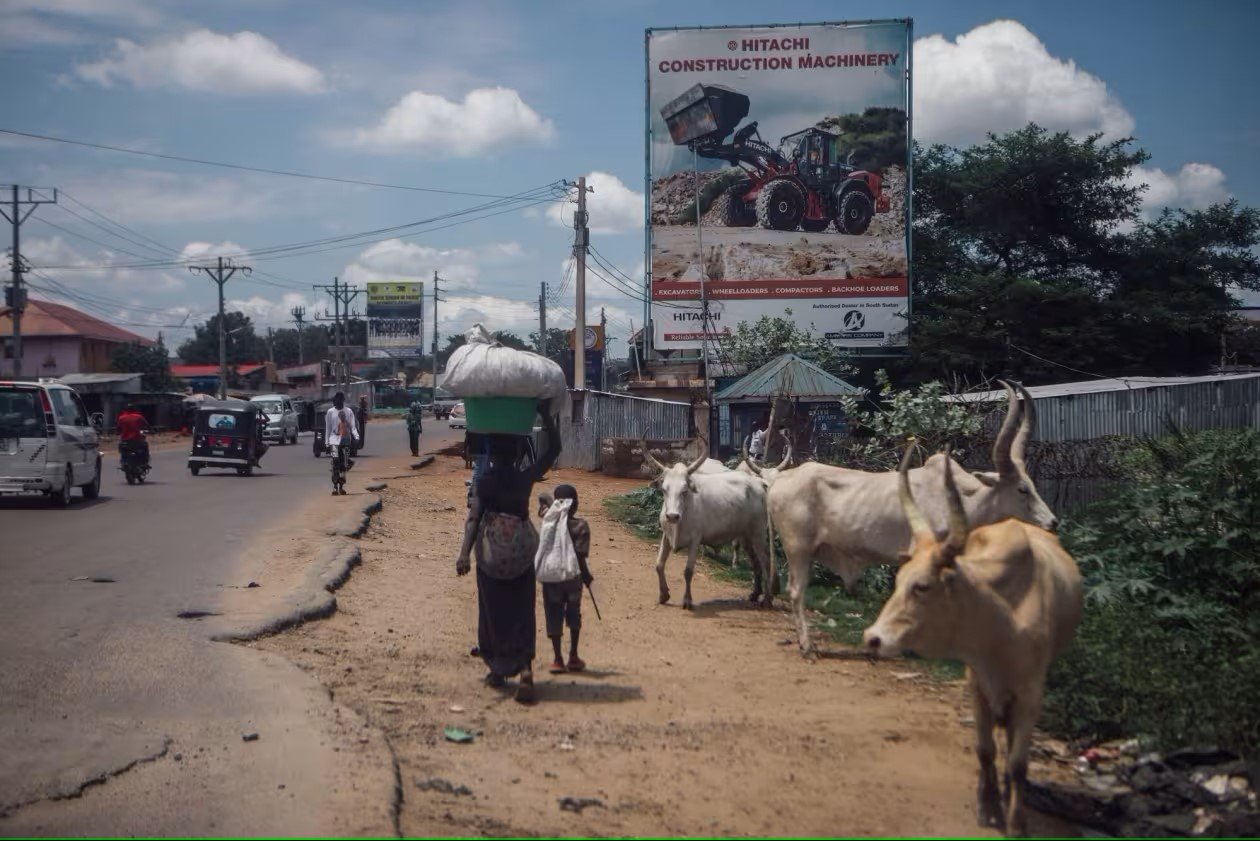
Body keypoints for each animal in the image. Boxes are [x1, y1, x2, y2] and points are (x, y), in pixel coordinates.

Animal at [645, 441, 771, 612]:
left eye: (684, 490)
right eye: (664, 489)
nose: (672, 516)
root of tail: (758, 482)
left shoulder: (695, 540)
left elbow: (688, 571)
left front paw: (687, 600)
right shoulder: (666, 536)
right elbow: (659, 565)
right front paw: (663, 595)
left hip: (758, 533)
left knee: (765, 563)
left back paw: (768, 600)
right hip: (746, 537)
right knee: (756, 563)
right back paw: (754, 594)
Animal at [766, 383, 1053, 655]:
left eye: (1032, 485)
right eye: (1022, 489)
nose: (1052, 522)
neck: (962, 499)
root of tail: (780, 480)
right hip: (798, 549)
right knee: (796, 591)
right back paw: (806, 645)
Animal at [866, 446, 1083, 837]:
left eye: (923, 586)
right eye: (899, 580)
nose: (873, 639)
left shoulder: (1031, 693)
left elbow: (1017, 762)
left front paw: (1015, 821)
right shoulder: (976, 682)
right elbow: (984, 750)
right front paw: (988, 807)